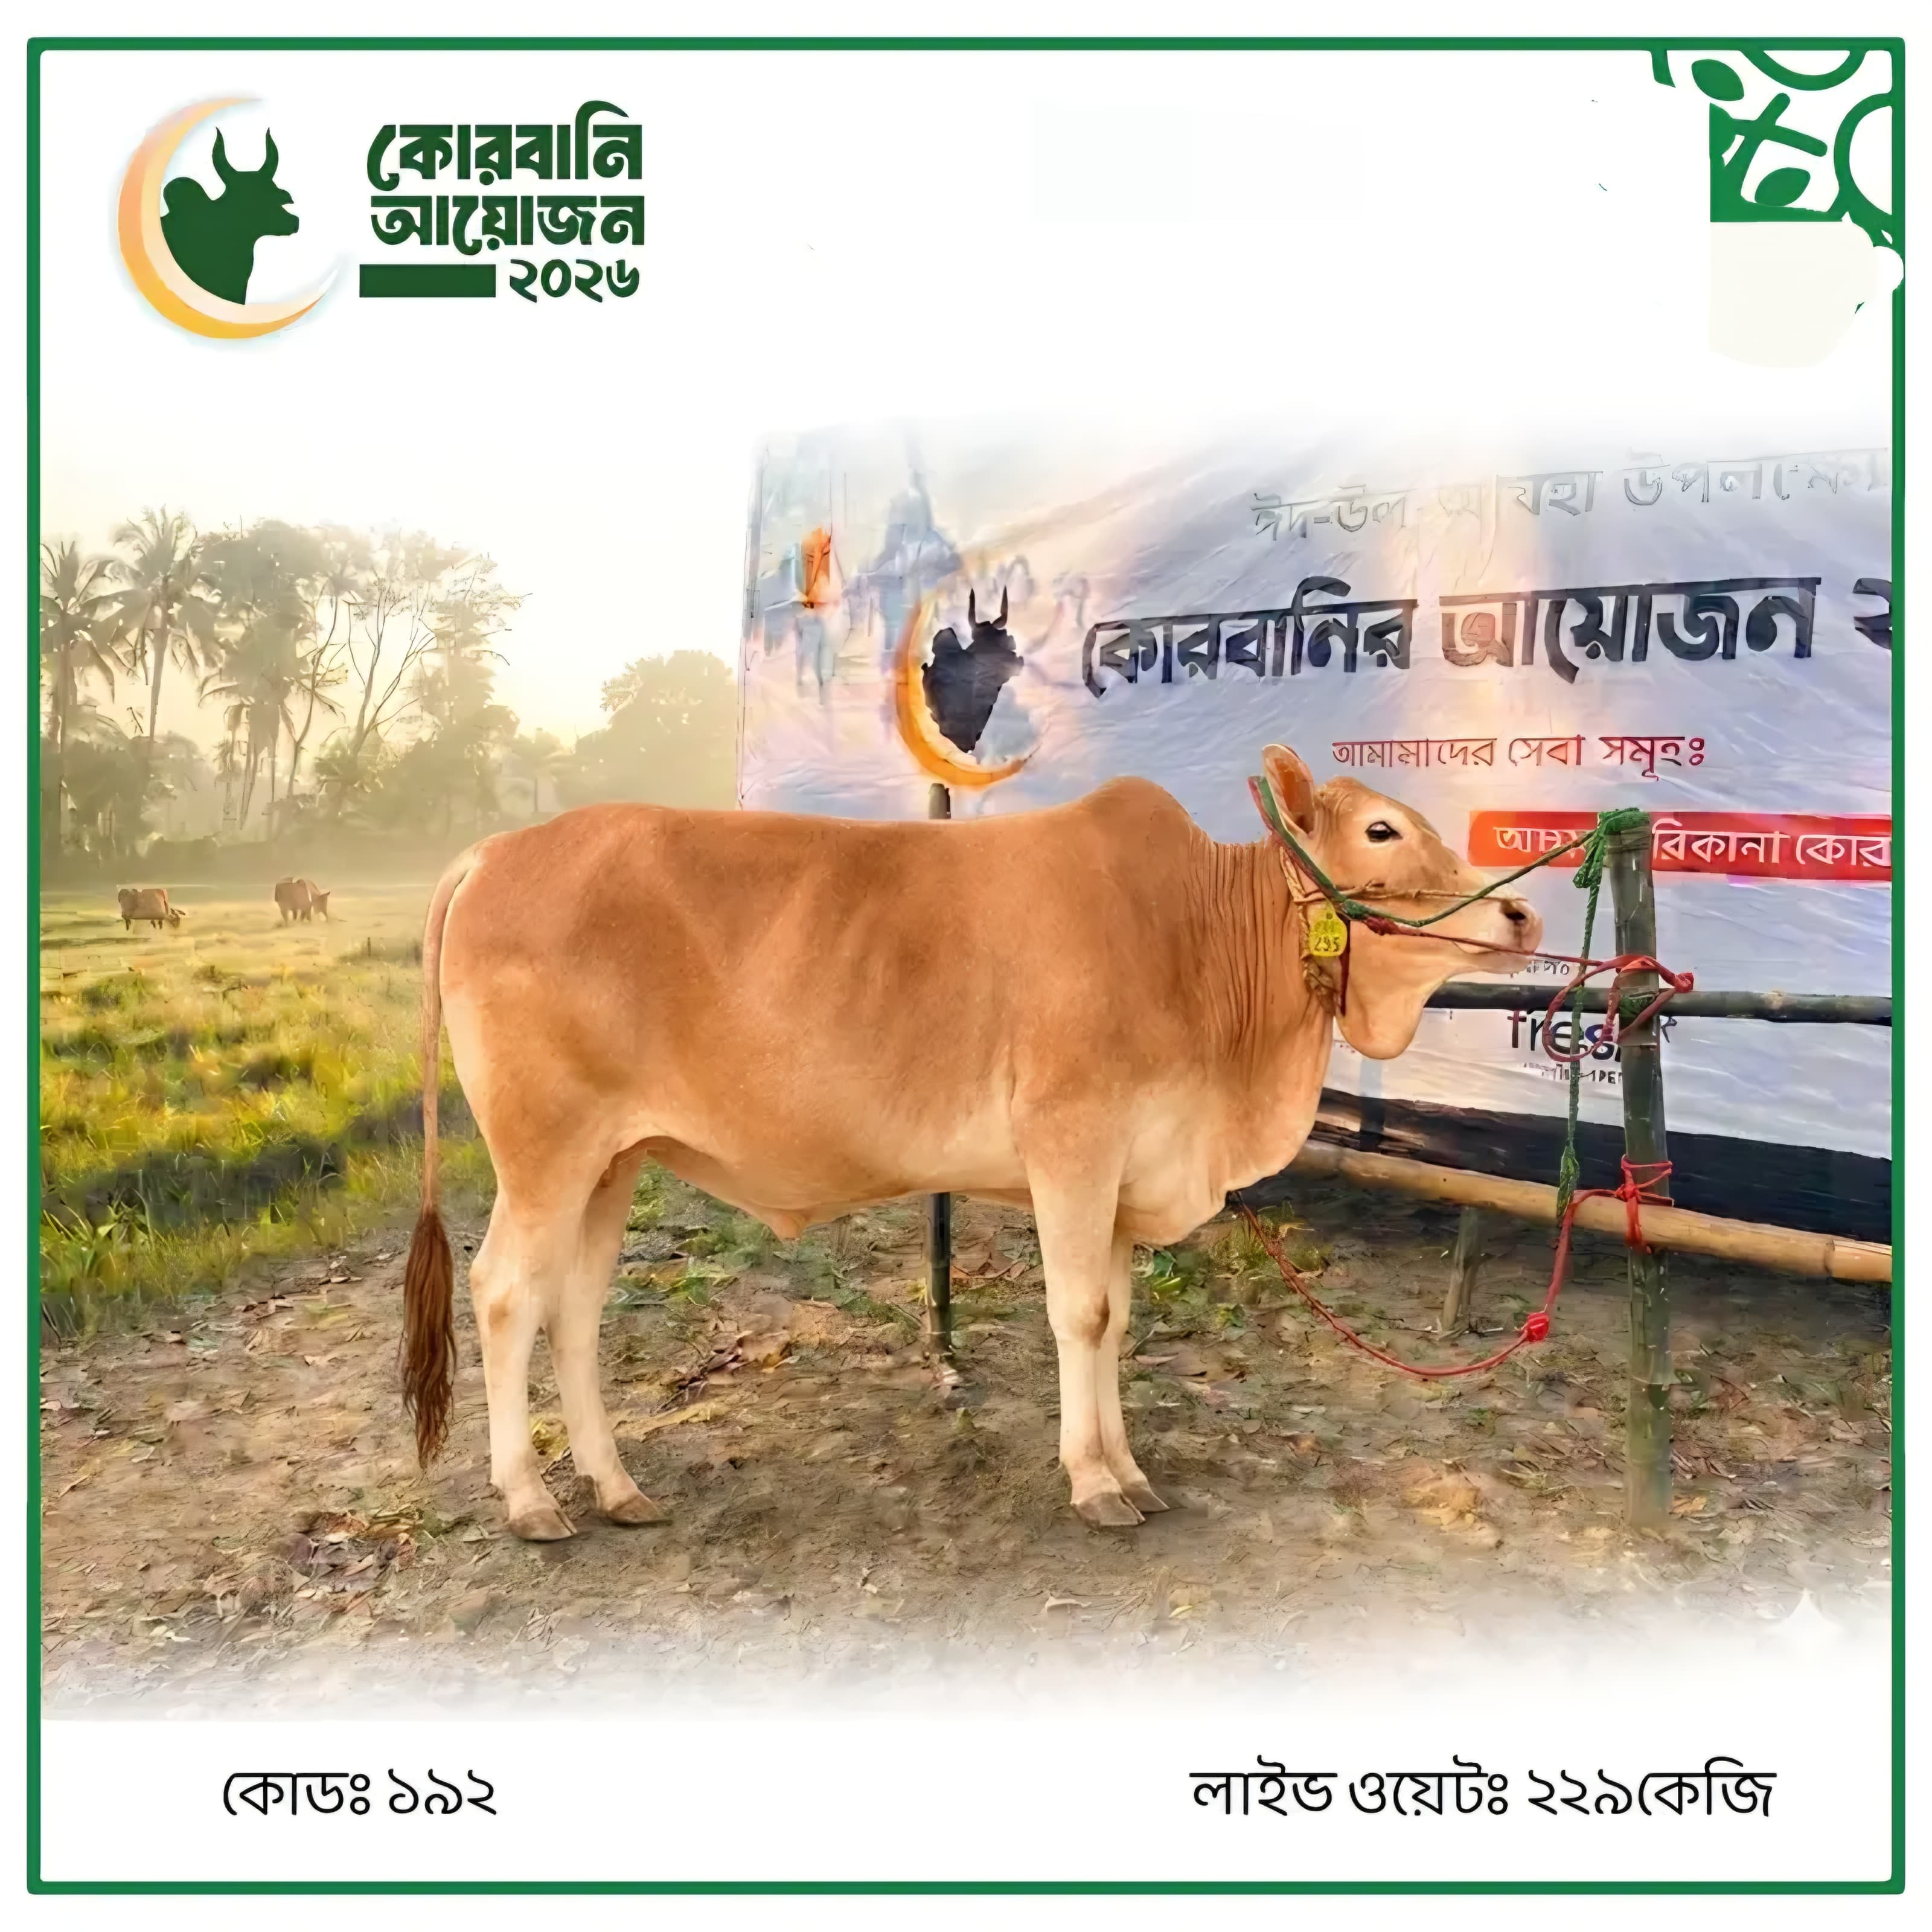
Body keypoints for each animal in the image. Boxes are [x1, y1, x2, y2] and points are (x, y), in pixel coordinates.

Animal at [400, 744, 1542, 1542]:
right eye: (1384, 831)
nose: (1524, 917)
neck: (1196, 943)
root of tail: (497, 850)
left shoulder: (1121, 1174)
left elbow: (1117, 1321)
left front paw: (1130, 1471)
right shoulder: (1072, 1144)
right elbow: (1081, 1316)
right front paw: (1094, 1484)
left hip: (612, 1161)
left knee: (575, 1312)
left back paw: (615, 1485)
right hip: (544, 1154)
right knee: (504, 1294)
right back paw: (530, 1499)